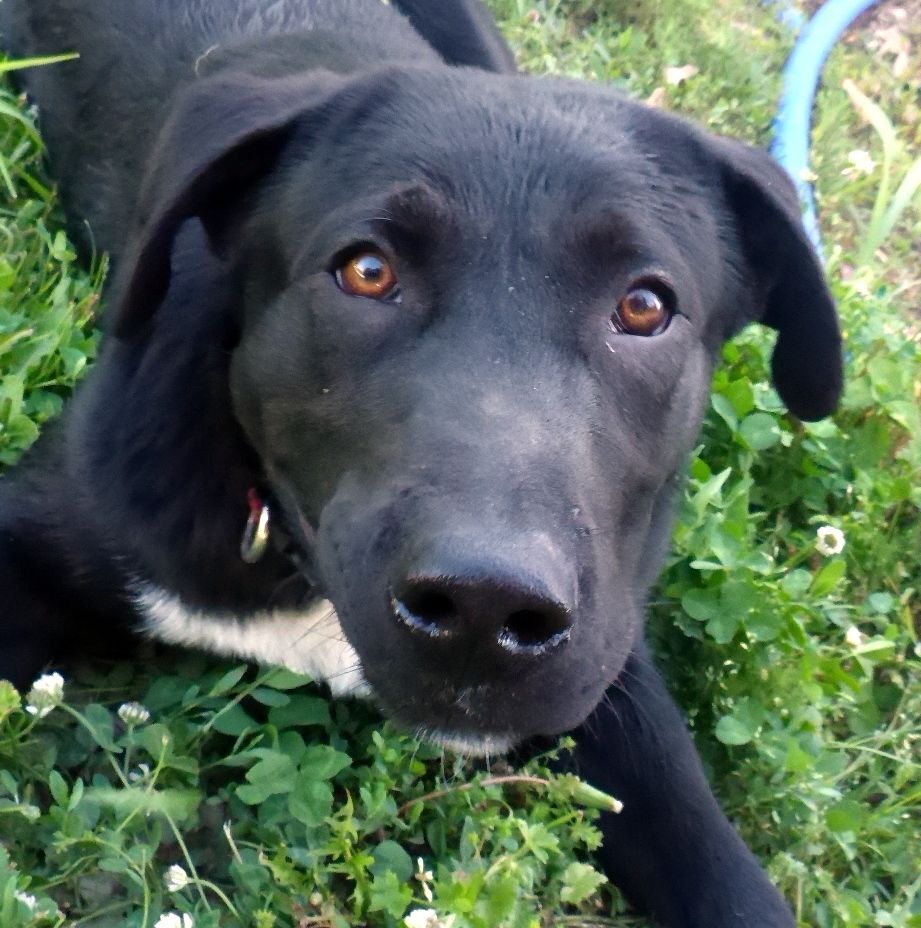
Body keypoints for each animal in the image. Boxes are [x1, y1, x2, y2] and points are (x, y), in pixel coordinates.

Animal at [0, 3, 836, 924]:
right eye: (367, 271)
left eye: (645, 306)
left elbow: (711, 855)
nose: (482, 609)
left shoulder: (606, 658)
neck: (296, 557)